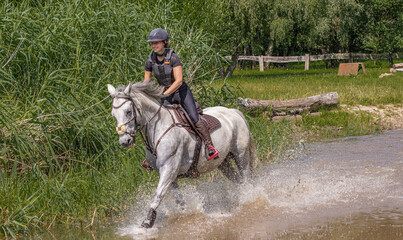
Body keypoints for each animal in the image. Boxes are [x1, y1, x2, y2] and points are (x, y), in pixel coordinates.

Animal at [107, 79, 258, 228]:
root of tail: (233, 112)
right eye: (113, 115)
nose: (125, 141)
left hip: (241, 155)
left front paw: (147, 222)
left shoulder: (168, 169)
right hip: (223, 162)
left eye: (128, 112)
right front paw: (186, 215)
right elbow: (179, 200)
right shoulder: (170, 175)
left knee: (247, 179)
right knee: (239, 180)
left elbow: (157, 195)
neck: (159, 127)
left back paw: (249, 199)